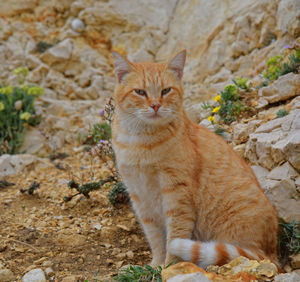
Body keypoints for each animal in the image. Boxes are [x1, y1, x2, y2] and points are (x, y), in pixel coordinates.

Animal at [110, 50, 278, 268]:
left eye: (166, 90)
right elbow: (154, 237)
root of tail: (271, 253)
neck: (139, 140)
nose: (155, 105)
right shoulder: (139, 195)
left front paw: (170, 266)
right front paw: (156, 265)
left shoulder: (177, 192)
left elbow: (175, 233)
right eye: (139, 92)